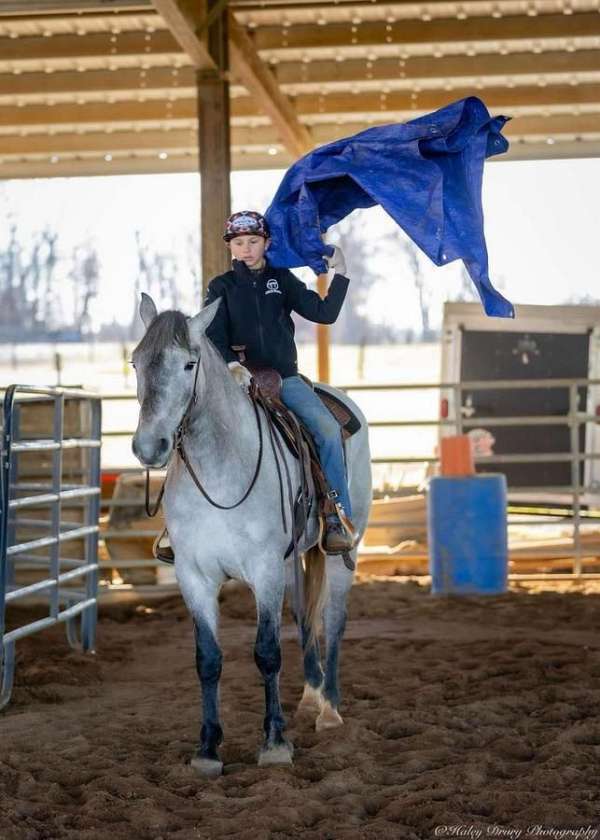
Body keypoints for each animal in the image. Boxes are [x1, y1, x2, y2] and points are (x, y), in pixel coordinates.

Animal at [132, 292, 370, 776]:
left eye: (188, 364)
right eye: (135, 362)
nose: (149, 446)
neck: (221, 470)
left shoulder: (264, 570)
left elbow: (267, 652)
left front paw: (275, 743)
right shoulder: (194, 576)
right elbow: (208, 658)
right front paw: (207, 748)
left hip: (339, 555)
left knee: (334, 620)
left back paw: (330, 709)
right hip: (294, 562)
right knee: (305, 616)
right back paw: (311, 696)